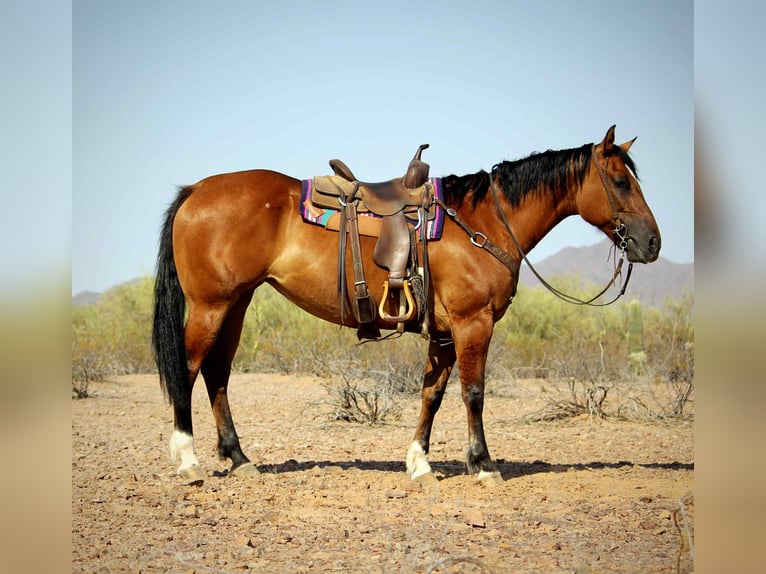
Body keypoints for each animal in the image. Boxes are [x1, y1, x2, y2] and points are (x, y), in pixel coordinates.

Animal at [152, 125, 661, 486]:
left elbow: (431, 394)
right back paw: (188, 461)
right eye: (620, 181)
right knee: (189, 370)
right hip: (210, 305)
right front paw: (483, 464)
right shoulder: (473, 323)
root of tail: (195, 190)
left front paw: (419, 463)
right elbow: (473, 393)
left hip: (235, 304)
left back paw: (239, 459)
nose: (652, 243)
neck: (484, 221)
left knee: (217, 374)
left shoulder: (445, 333)